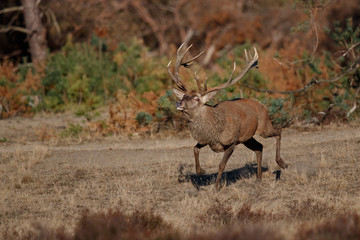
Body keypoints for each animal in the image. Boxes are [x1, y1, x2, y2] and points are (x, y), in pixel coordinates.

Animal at [167, 41, 288, 191]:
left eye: (196, 98)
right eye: (184, 96)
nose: (179, 102)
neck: (215, 129)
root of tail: (262, 106)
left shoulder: (232, 142)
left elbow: (221, 165)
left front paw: (216, 187)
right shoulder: (207, 140)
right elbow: (195, 149)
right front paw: (201, 171)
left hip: (264, 126)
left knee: (278, 130)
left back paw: (282, 163)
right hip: (247, 137)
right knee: (259, 147)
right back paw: (259, 178)